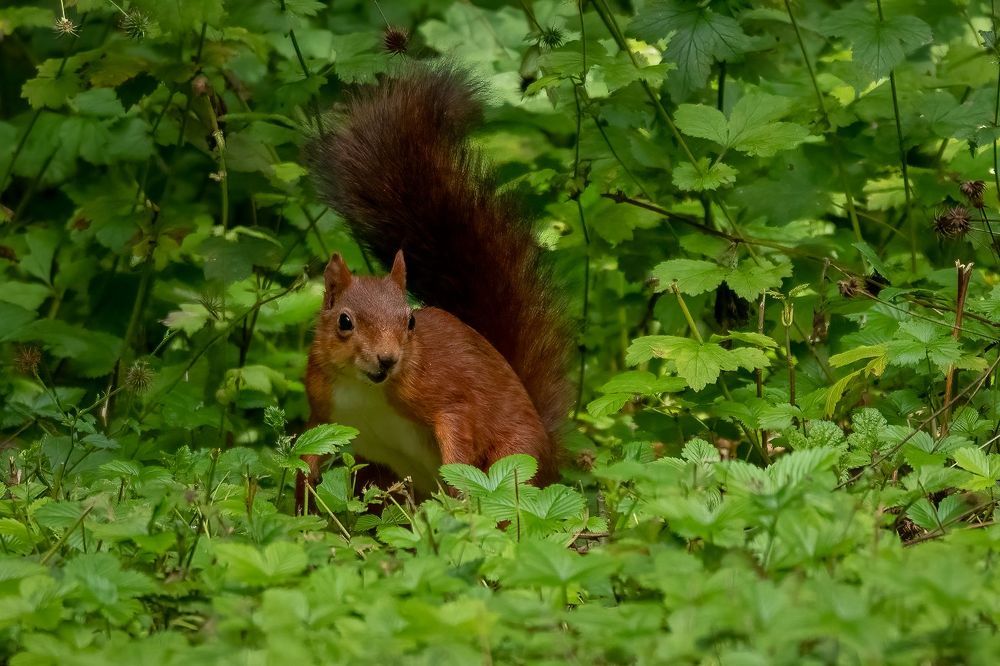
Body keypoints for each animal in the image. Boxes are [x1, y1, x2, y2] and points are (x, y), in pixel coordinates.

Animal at [296, 67, 572, 513]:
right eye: (344, 321)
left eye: (410, 321)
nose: (387, 360)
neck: (367, 388)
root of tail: (551, 458)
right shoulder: (323, 406)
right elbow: (307, 448)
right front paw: (302, 496)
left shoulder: (446, 393)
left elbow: (459, 436)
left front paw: (459, 499)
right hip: (375, 474)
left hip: (518, 461)